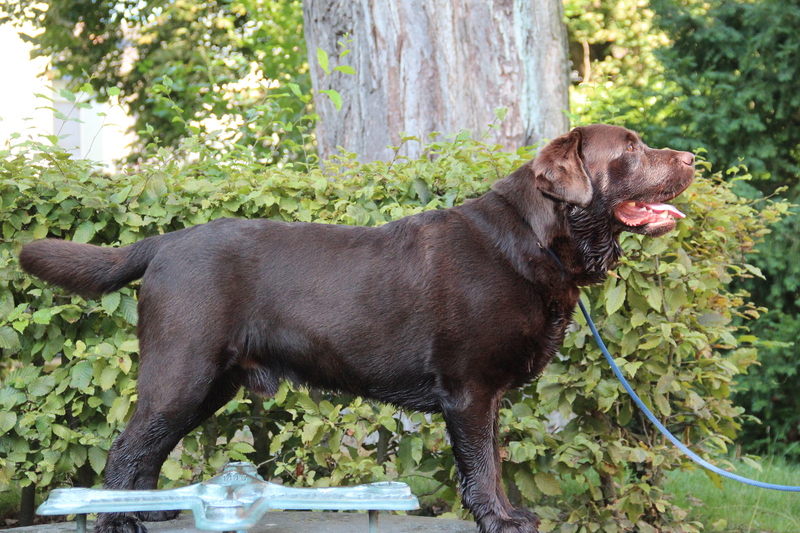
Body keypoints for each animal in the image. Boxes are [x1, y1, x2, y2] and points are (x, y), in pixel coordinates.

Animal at [19, 124, 694, 533]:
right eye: (630, 150)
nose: (691, 158)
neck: (539, 239)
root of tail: (165, 242)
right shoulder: (469, 390)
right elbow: (482, 465)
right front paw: (497, 519)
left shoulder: (487, 396)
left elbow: (495, 462)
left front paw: (509, 514)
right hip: (181, 371)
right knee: (125, 448)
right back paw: (117, 519)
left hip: (210, 383)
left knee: (149, 448)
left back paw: (154, 513)